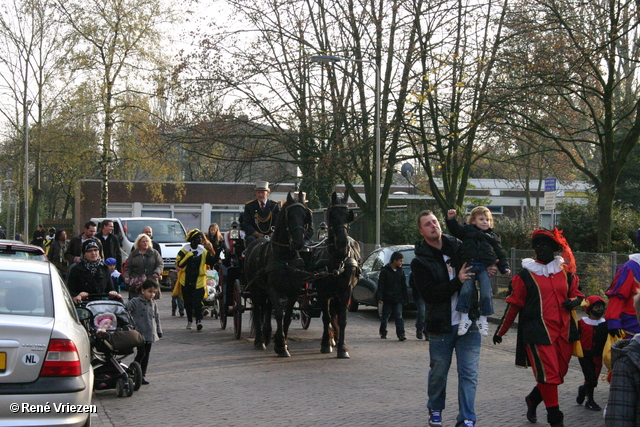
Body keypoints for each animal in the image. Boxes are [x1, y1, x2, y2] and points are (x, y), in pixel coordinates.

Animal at [244, 191, 312, 358]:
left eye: (305, 216)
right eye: (289, 215)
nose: (299, 243)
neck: (285, 257)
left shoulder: (293, 290)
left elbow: (287, 316)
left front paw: (283, 343)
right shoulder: (273, 289)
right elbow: (280, 314)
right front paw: (280, 345)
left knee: (267, 309)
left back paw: (267, 335)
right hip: (255, 289)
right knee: (257, 309)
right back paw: (259, 341)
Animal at [314, 192, 362, 360]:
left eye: (348, 215)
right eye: (332, 215)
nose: (342, 243)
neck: (337, 259)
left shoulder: (345, 291)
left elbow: (342, 319)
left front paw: (342, 347)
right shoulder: (323, 292)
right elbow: (326, 317)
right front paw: (325, 344)